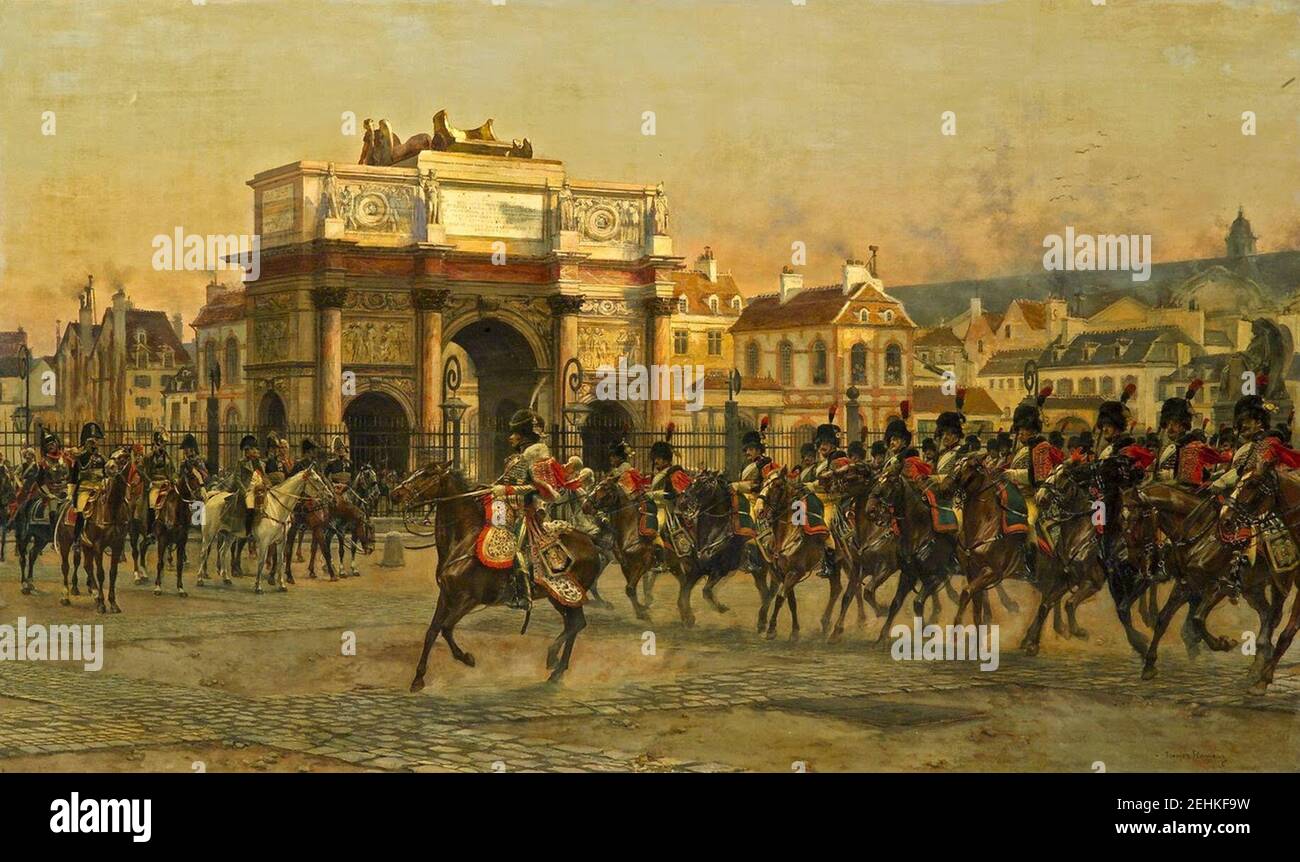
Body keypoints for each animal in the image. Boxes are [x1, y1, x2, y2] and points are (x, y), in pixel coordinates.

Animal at [196, 473, 332, 592]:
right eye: (316, 479)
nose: (330, 495)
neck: (277, 508)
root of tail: (212, 497)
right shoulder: (264, 542)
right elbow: (261, 562)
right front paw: (258, 586)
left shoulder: (281, 541)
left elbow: (280, 561)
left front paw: (282, 585)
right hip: (209, 534)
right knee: (203, 553)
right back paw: (200, 579)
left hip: (230, 535)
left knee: (223, 552)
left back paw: (226, 578)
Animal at [390, 462, 603, 691]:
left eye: (428, 473)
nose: (395, 494)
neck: (465, 539)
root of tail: (590, 542)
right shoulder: (447, 595)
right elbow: (432, 631)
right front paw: (418, 678)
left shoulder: (469, 599)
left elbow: (446, 628)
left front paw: (466, 658)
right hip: (556, 598)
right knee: (572, 624)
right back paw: (555, 662)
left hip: (567, 595)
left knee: (576, 624)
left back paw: (555, 667)